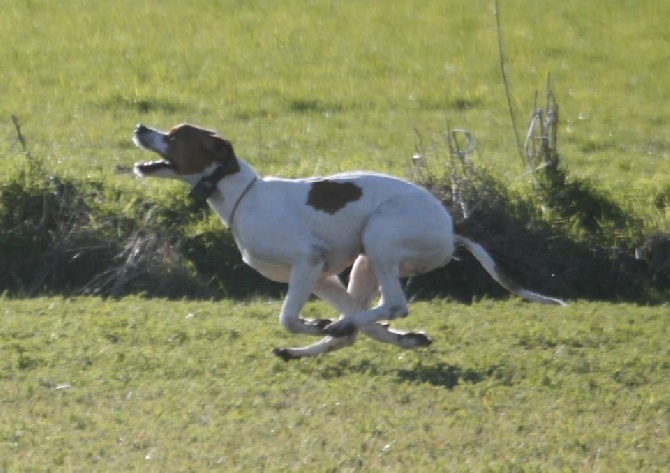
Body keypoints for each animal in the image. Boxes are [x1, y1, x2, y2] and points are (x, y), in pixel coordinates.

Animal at [133, 123, 568, 360]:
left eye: (175, 135)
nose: (140, 128)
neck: (242, 193)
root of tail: (450, 227)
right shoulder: (323, 277)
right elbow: (352, 324)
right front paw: (398, 338)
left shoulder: (308, 262)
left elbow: (289, 318)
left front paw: (318, 324)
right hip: (365, 262)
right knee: (362, 322)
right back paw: (322, 342)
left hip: (380, 239)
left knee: (394, 305)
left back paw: (338, 327)